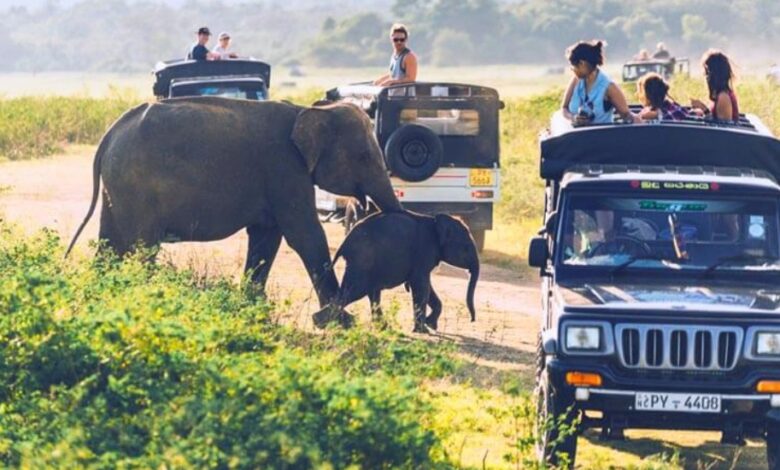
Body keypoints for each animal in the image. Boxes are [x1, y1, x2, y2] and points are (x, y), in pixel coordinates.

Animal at [67, 98, 402, 326]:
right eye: (363, 157)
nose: (380, 323)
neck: (312, 110)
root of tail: (110, 134)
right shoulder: (285, 168)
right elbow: (304, 235)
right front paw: (340, 322)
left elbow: (266, 237)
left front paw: (255, 310)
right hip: (137, 187)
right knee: (142, 246)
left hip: (118, 187)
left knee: (109, 243)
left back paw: (101, 298)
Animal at [332, 211, 478, 332]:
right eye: (466, 248)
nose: (472, 320)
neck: (435, 222)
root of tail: (344, 243)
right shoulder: (424, 251)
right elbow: (422, 286)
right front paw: (423, 330)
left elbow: (426, 287)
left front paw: (430, 325)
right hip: (361, 261)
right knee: (353, 291)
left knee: (372, 293)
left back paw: (383, 327)